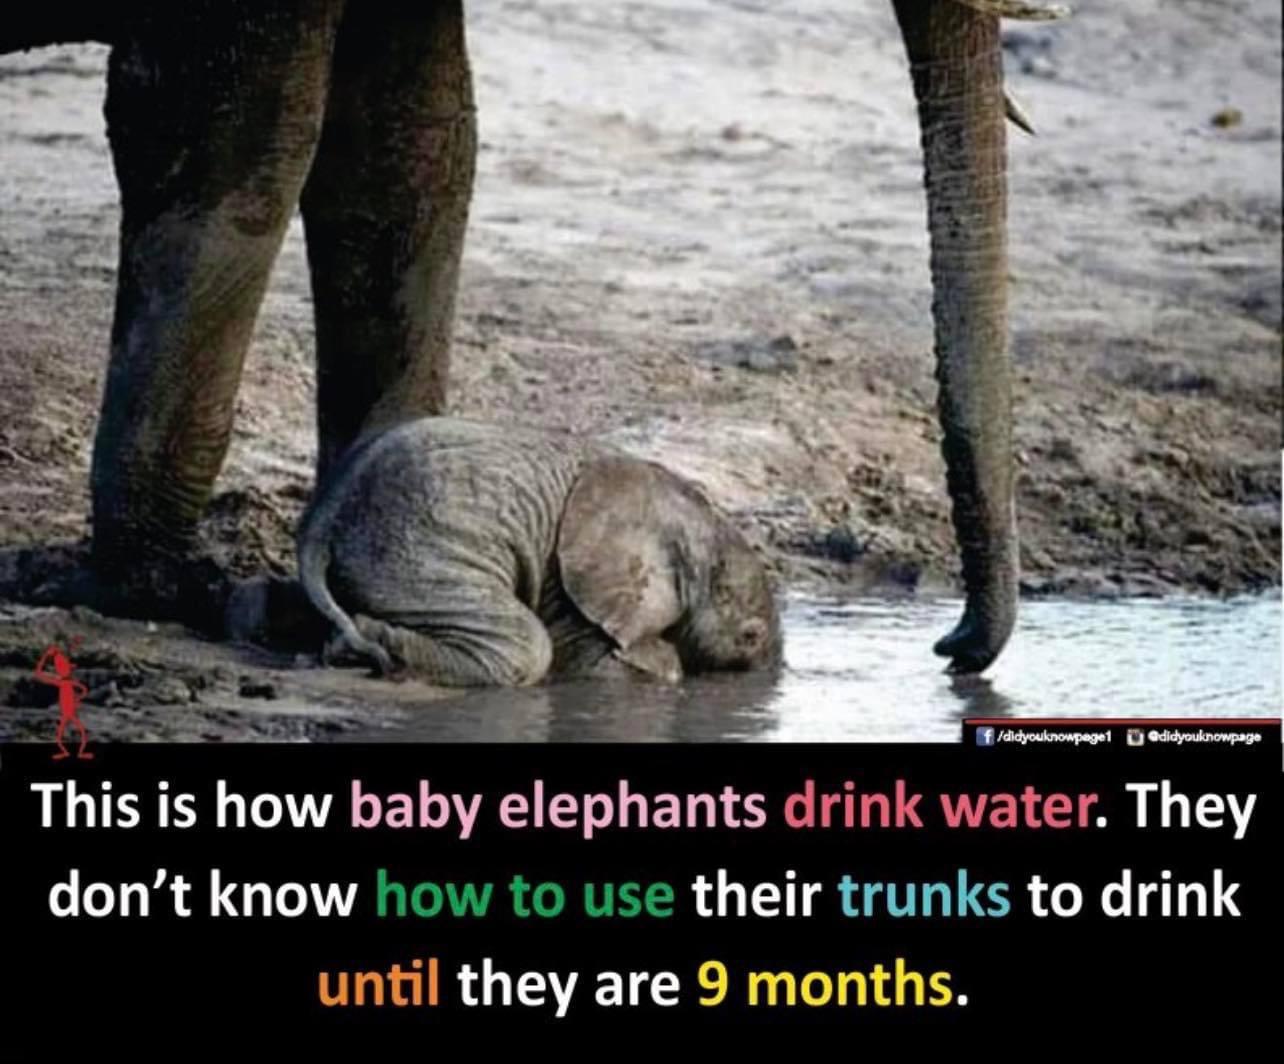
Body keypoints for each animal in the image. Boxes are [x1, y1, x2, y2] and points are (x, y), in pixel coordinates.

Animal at [294, 417, 782, 686]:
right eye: (749, 637)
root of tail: (323, 519)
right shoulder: (572, 583)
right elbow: (597, 665)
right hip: (421, 551)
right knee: (526, 648)